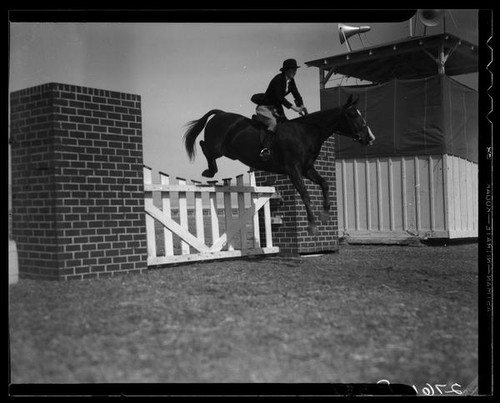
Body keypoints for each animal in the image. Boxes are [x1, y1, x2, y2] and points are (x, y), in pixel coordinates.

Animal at [184, 95, 376, 237]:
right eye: (353, 115)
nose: (370, 138)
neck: (307, 132)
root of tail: (221, 113)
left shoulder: (307, 169)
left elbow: (324, 184)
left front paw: (325, 215)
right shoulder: (293, 170)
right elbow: (305, 193)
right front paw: (312, 226)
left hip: (229, 152)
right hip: (219, 148)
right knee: (203, 145)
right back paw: (210, 171)